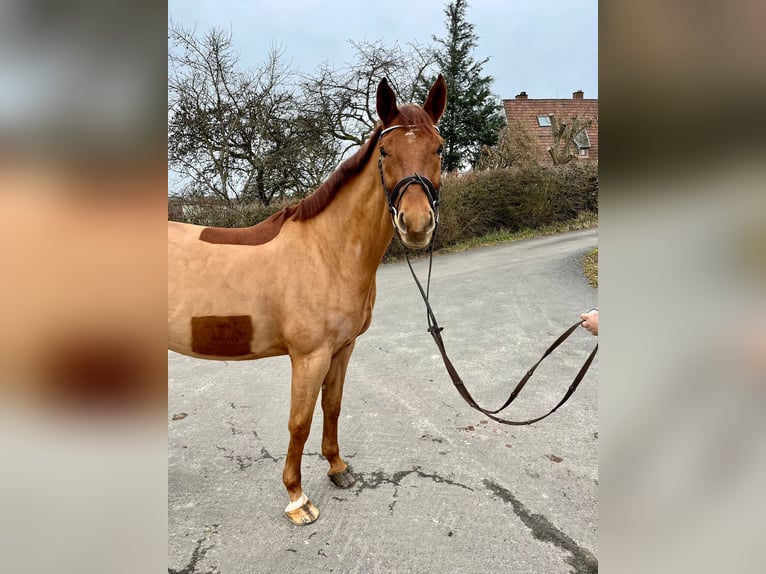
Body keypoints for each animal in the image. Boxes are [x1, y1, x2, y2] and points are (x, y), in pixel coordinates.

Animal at [168, 76, 444, 528]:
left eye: (437, 147)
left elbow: (332, 407)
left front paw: (337, 469)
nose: (417, 225)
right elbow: (300, 421)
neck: (326, 249)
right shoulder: (309, 356)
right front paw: (297, 499)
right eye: (385, 152)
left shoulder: (342, 349)